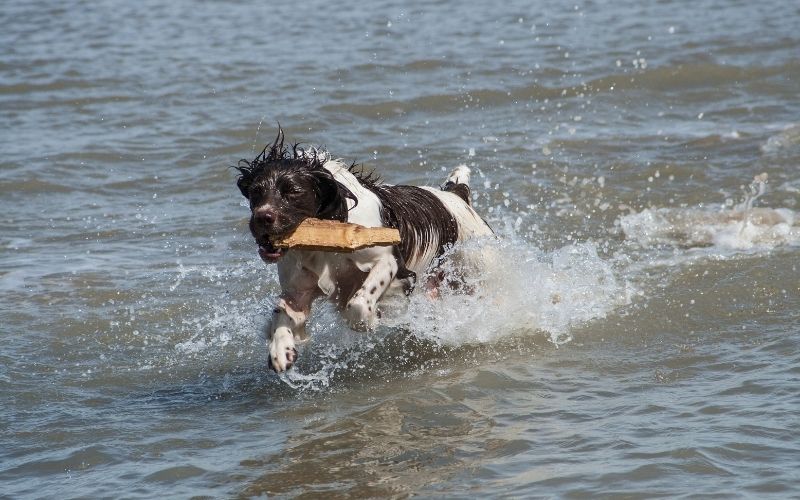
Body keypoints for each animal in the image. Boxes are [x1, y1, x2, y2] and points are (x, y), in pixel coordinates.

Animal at [233, 129, 494, 372]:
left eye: (293, 191)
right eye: (256, 191)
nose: (262, 217)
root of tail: (456, 195)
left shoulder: (390, 261)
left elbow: (359, 302)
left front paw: (369, 320)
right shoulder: (299, 288)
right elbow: (281, 312)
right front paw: (280, 349)